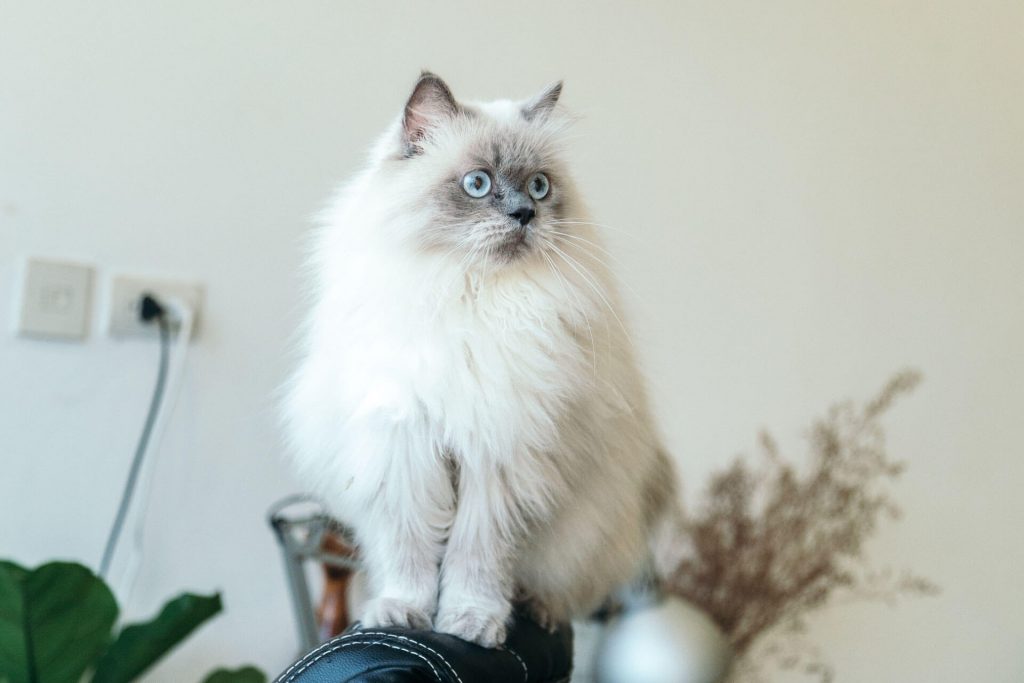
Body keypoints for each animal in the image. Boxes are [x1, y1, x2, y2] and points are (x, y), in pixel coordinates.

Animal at [282, 72, 679, 651]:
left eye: (539, 187)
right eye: (477, 184)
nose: (524, 214)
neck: (470, 297)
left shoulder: (499, 461)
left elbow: (477, 562)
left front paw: (470, 627)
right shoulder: (406, 452)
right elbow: (411, 560)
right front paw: (402, 616)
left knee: (563, 590)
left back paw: (538, 611)